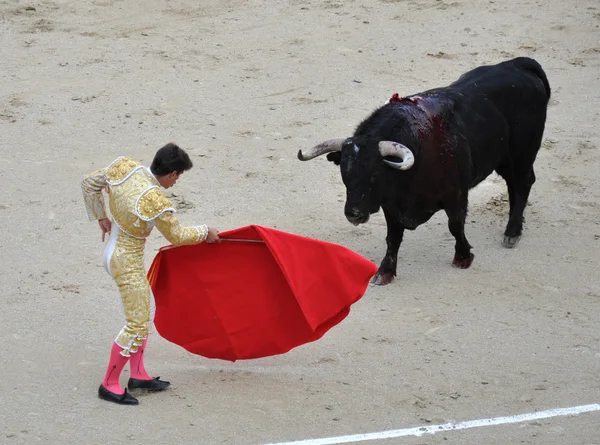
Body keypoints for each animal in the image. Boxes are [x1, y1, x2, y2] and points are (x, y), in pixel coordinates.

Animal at [298, 57, 552, 284]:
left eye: (375, 174)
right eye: (344, 173)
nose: (353, 214)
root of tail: (518, 64)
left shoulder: (456, 196)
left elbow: (455, 225)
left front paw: (463, 257)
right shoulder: (391, 205)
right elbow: (393, 238)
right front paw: (385, 272)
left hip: (521, 154)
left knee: (523, 183)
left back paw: (512, 232)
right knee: (514, 184)